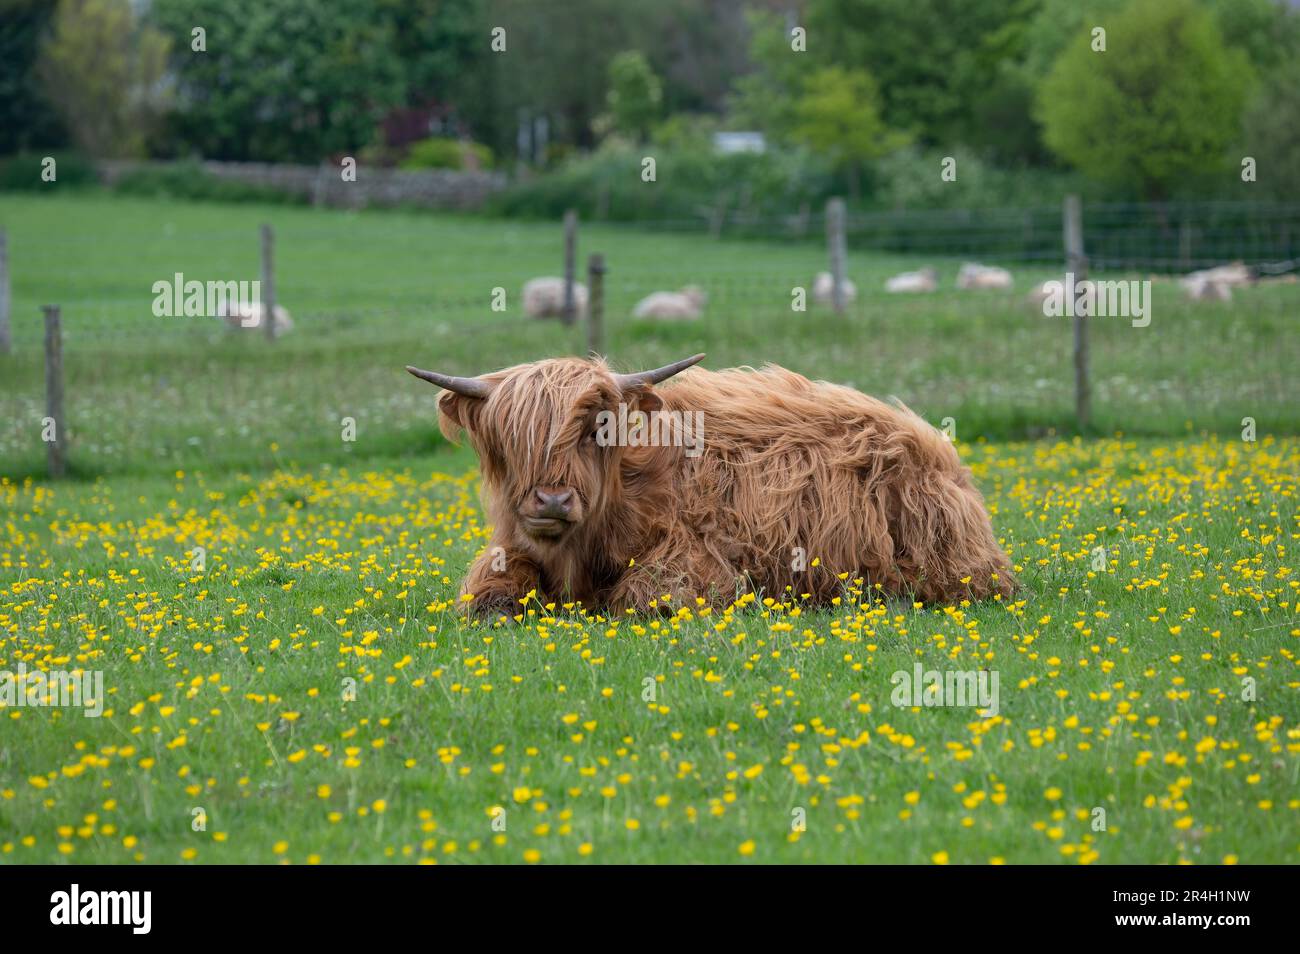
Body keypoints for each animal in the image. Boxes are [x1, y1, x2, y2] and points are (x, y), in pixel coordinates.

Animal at [406, 355, 1016, 616]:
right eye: (508, 434)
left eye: (595, 427)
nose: (552, 499)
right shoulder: (512, 549)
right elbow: (487, 591)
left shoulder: (698, 560)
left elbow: (643, 597)